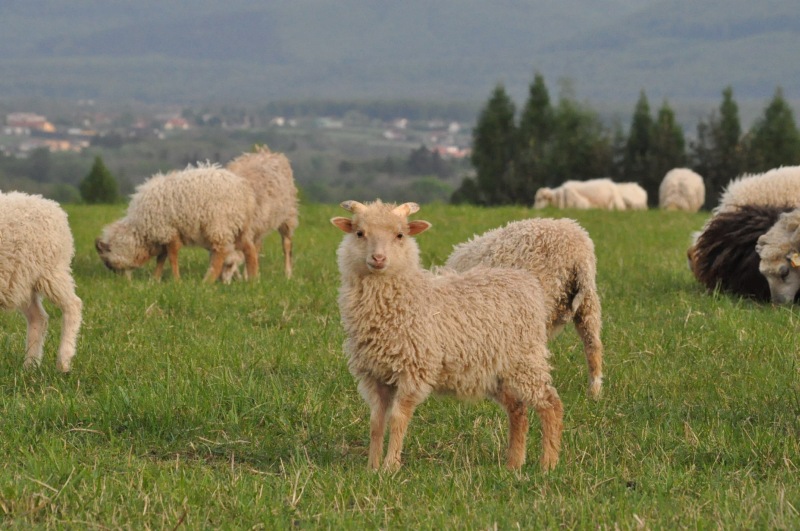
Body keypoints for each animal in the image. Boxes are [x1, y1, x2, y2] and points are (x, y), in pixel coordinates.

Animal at [0, 192, 82, 374]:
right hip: (20, 282)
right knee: (38, 318)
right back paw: (30, 366)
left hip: (51, 271)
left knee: (73, 305)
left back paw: (63, 362)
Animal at [93, 164, 258, 284]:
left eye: (108, 263)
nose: (124, 283)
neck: (139, 230)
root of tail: (245, 192)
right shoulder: (162, 235)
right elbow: (162, 258)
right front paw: (155, 279)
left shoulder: (167, 231)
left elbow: (171, 256)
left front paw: (176, 281)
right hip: (239, 227)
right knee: (250, 249)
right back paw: (253, 280)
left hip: (219, 225)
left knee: (220, 254)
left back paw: (206, 282)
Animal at [222, 143, 300, 280]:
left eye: (229, 264)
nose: (223, 281)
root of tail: (265, 152)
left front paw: (246, 276)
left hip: (287, 215)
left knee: (286, 245)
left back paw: (288, 274)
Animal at [332, 201, 564, 474]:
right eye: (359, 233)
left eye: (400, 235)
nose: (378, 258)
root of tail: (527, 281)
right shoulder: (374, 375)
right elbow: (376, 422)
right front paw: (372, 467)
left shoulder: (414, 370)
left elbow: (398, 419)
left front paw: (390, 467)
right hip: (496, 372)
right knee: (517, 409)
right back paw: (513, 465)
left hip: (526, 361)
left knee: (551, 404)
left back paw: (548, 464)